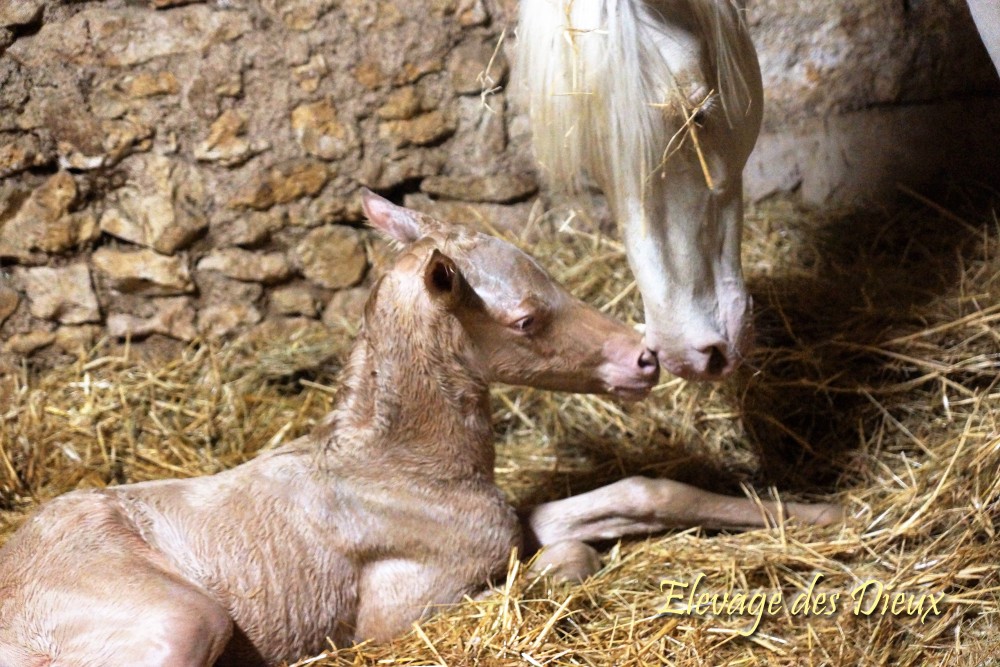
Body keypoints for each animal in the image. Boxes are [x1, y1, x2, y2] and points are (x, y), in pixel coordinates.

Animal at [0, 190, 844, 664]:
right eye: (526, 318)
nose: (642, 359)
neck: (406, 470)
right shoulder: (391, 615)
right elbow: (568, 557)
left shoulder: (505, 524)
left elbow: (638, 492)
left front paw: (827, 511)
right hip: (181, 619)